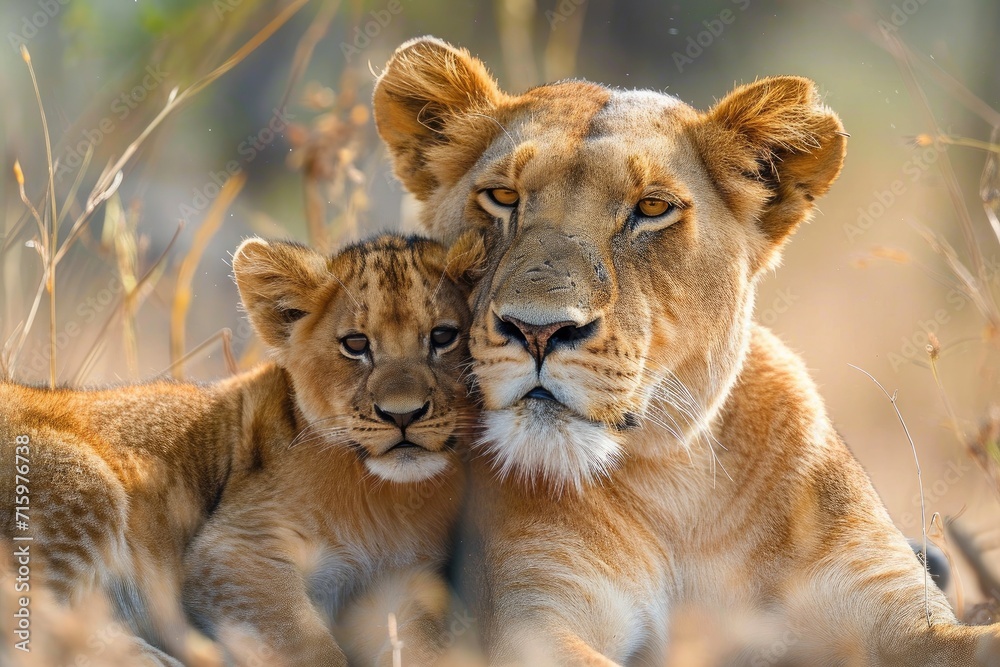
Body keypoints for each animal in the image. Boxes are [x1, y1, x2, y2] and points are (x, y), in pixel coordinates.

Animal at [1, 233, 480, 666]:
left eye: (443, 336)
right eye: (356, 344)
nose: (403, 414)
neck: (385, 501)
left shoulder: (400, 583)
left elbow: (424, 647)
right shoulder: (233, 548)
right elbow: (310, 648)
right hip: (80, 481)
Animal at [373, 37, 1000, 665]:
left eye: (652, 209)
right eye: (502, 197)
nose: (537, 331)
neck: (681, 485)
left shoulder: (894, 606)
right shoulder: (533, 621)